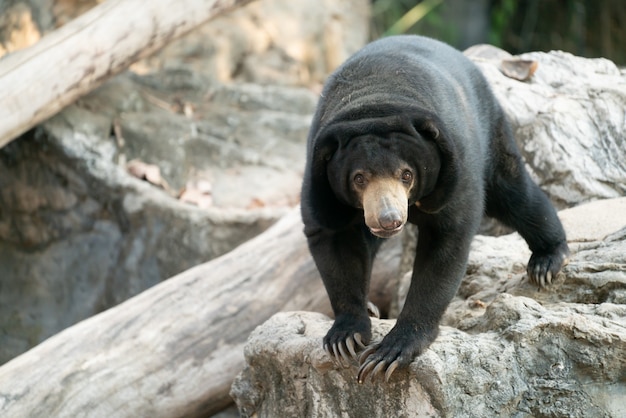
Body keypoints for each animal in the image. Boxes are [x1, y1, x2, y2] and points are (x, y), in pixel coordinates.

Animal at [300, 36, 568, 382]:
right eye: (359, 178)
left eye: (406, 174)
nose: (389, 219)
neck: (374, 104)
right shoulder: (320, 182)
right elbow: (333, 240)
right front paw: (345, 337)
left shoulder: (455, 166)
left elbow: (445, 245)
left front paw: (390, 352)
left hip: (490, 126)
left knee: (514, 194)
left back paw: (546, 262)